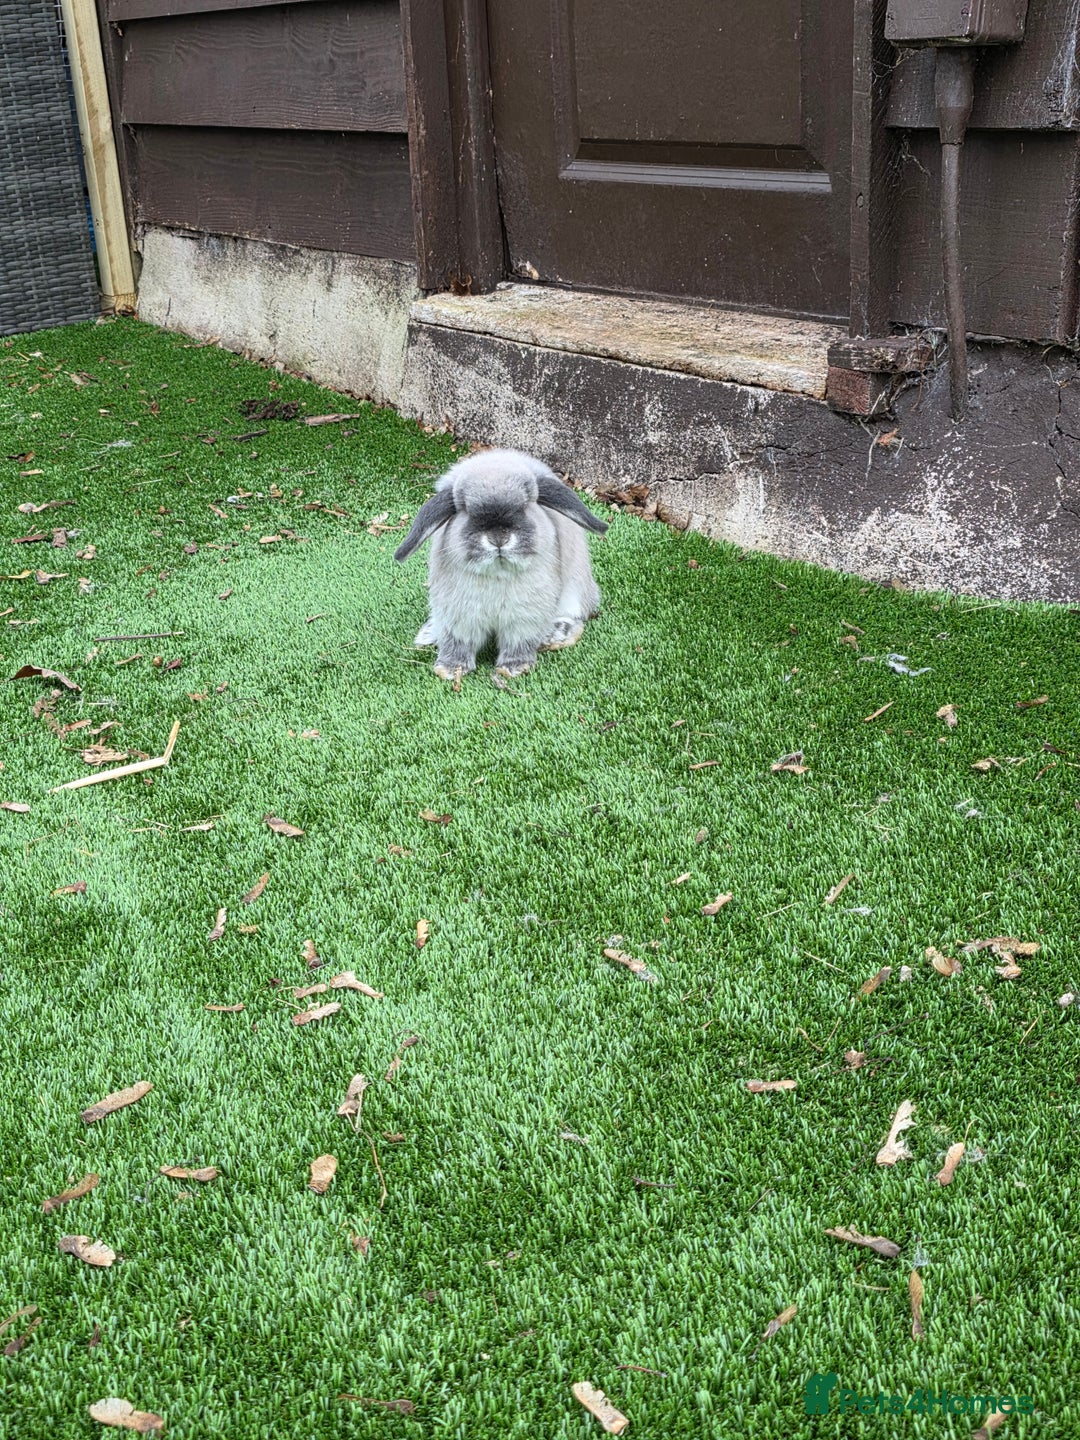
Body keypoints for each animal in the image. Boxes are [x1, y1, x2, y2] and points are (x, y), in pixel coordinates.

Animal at [394, 448, 608, 682]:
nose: (498, 538)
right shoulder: (459, 614)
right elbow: (458, 642)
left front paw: (513, 668)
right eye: (467, 510)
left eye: (525, 506)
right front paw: (450, 669)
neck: (498, 572)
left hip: (576, 589)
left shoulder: (525, 617)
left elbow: (519, 642)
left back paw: (556, 633)